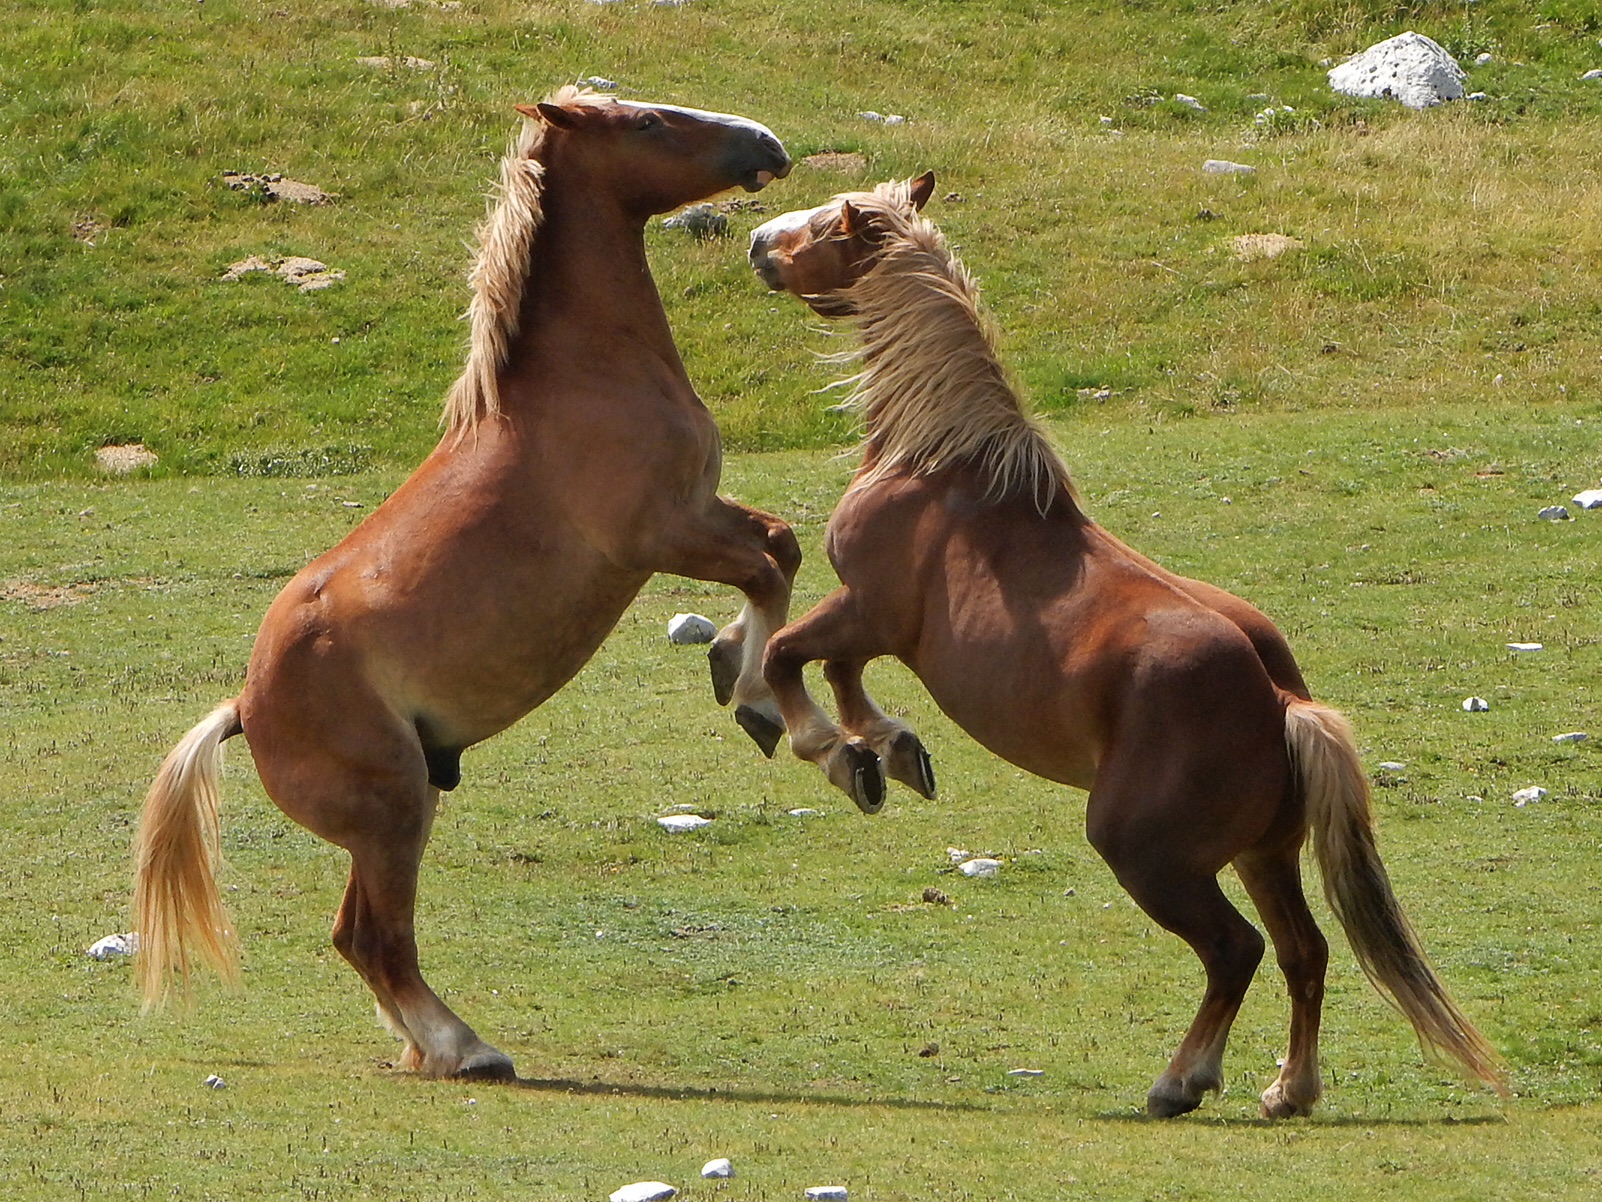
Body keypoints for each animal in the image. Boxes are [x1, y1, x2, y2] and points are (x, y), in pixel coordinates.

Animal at [133, 87, 797, 1081]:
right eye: (645, 122)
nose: (767, 143)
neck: (580, 380)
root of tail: (245, 707)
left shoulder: (702, 510)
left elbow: (781, 548)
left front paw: (746, 677)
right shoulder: (663, 533)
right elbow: (769, 564)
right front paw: (761, 701)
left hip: (401, 814)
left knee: (356, 936)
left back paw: (428, 1048)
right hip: (394, 812)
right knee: (378, 940)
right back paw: (466, 1047)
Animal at [746, 173, 1504, 1117]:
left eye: (824, 226)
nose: (758, 244)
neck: (943, 467)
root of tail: (1280, 700)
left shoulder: (869, 609)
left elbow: (788, 658)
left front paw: (841, 754)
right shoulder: (872, 627)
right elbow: (841, 676)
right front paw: (887, 752)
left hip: (1148, 858)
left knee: (1237, 951)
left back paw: (1182, 1080)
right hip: (1264, 855)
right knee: (1305, 952)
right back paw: (1288, 1089)